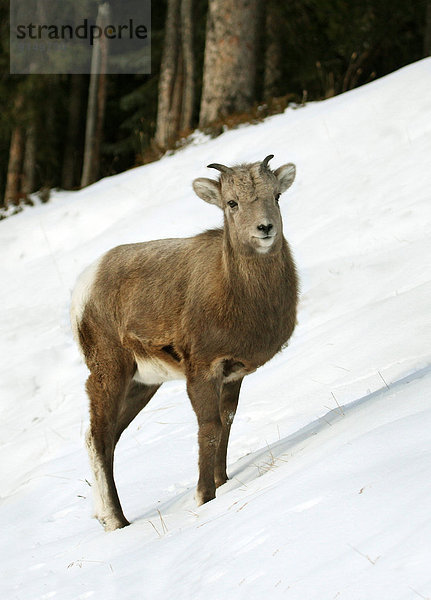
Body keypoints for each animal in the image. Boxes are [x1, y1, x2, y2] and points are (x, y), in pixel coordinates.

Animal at [71, 155, 300, 528]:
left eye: (276, 196)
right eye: (231, 203)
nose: (265, 229)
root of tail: (84, 286)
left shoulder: (232, 374)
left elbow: (226, 422)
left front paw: (223, 481)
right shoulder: (202, 371)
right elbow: (209, 428)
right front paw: (206, 496)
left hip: (142, 384)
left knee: (110, 438)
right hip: (109, 373)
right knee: (97, 437)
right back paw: (117, 521)